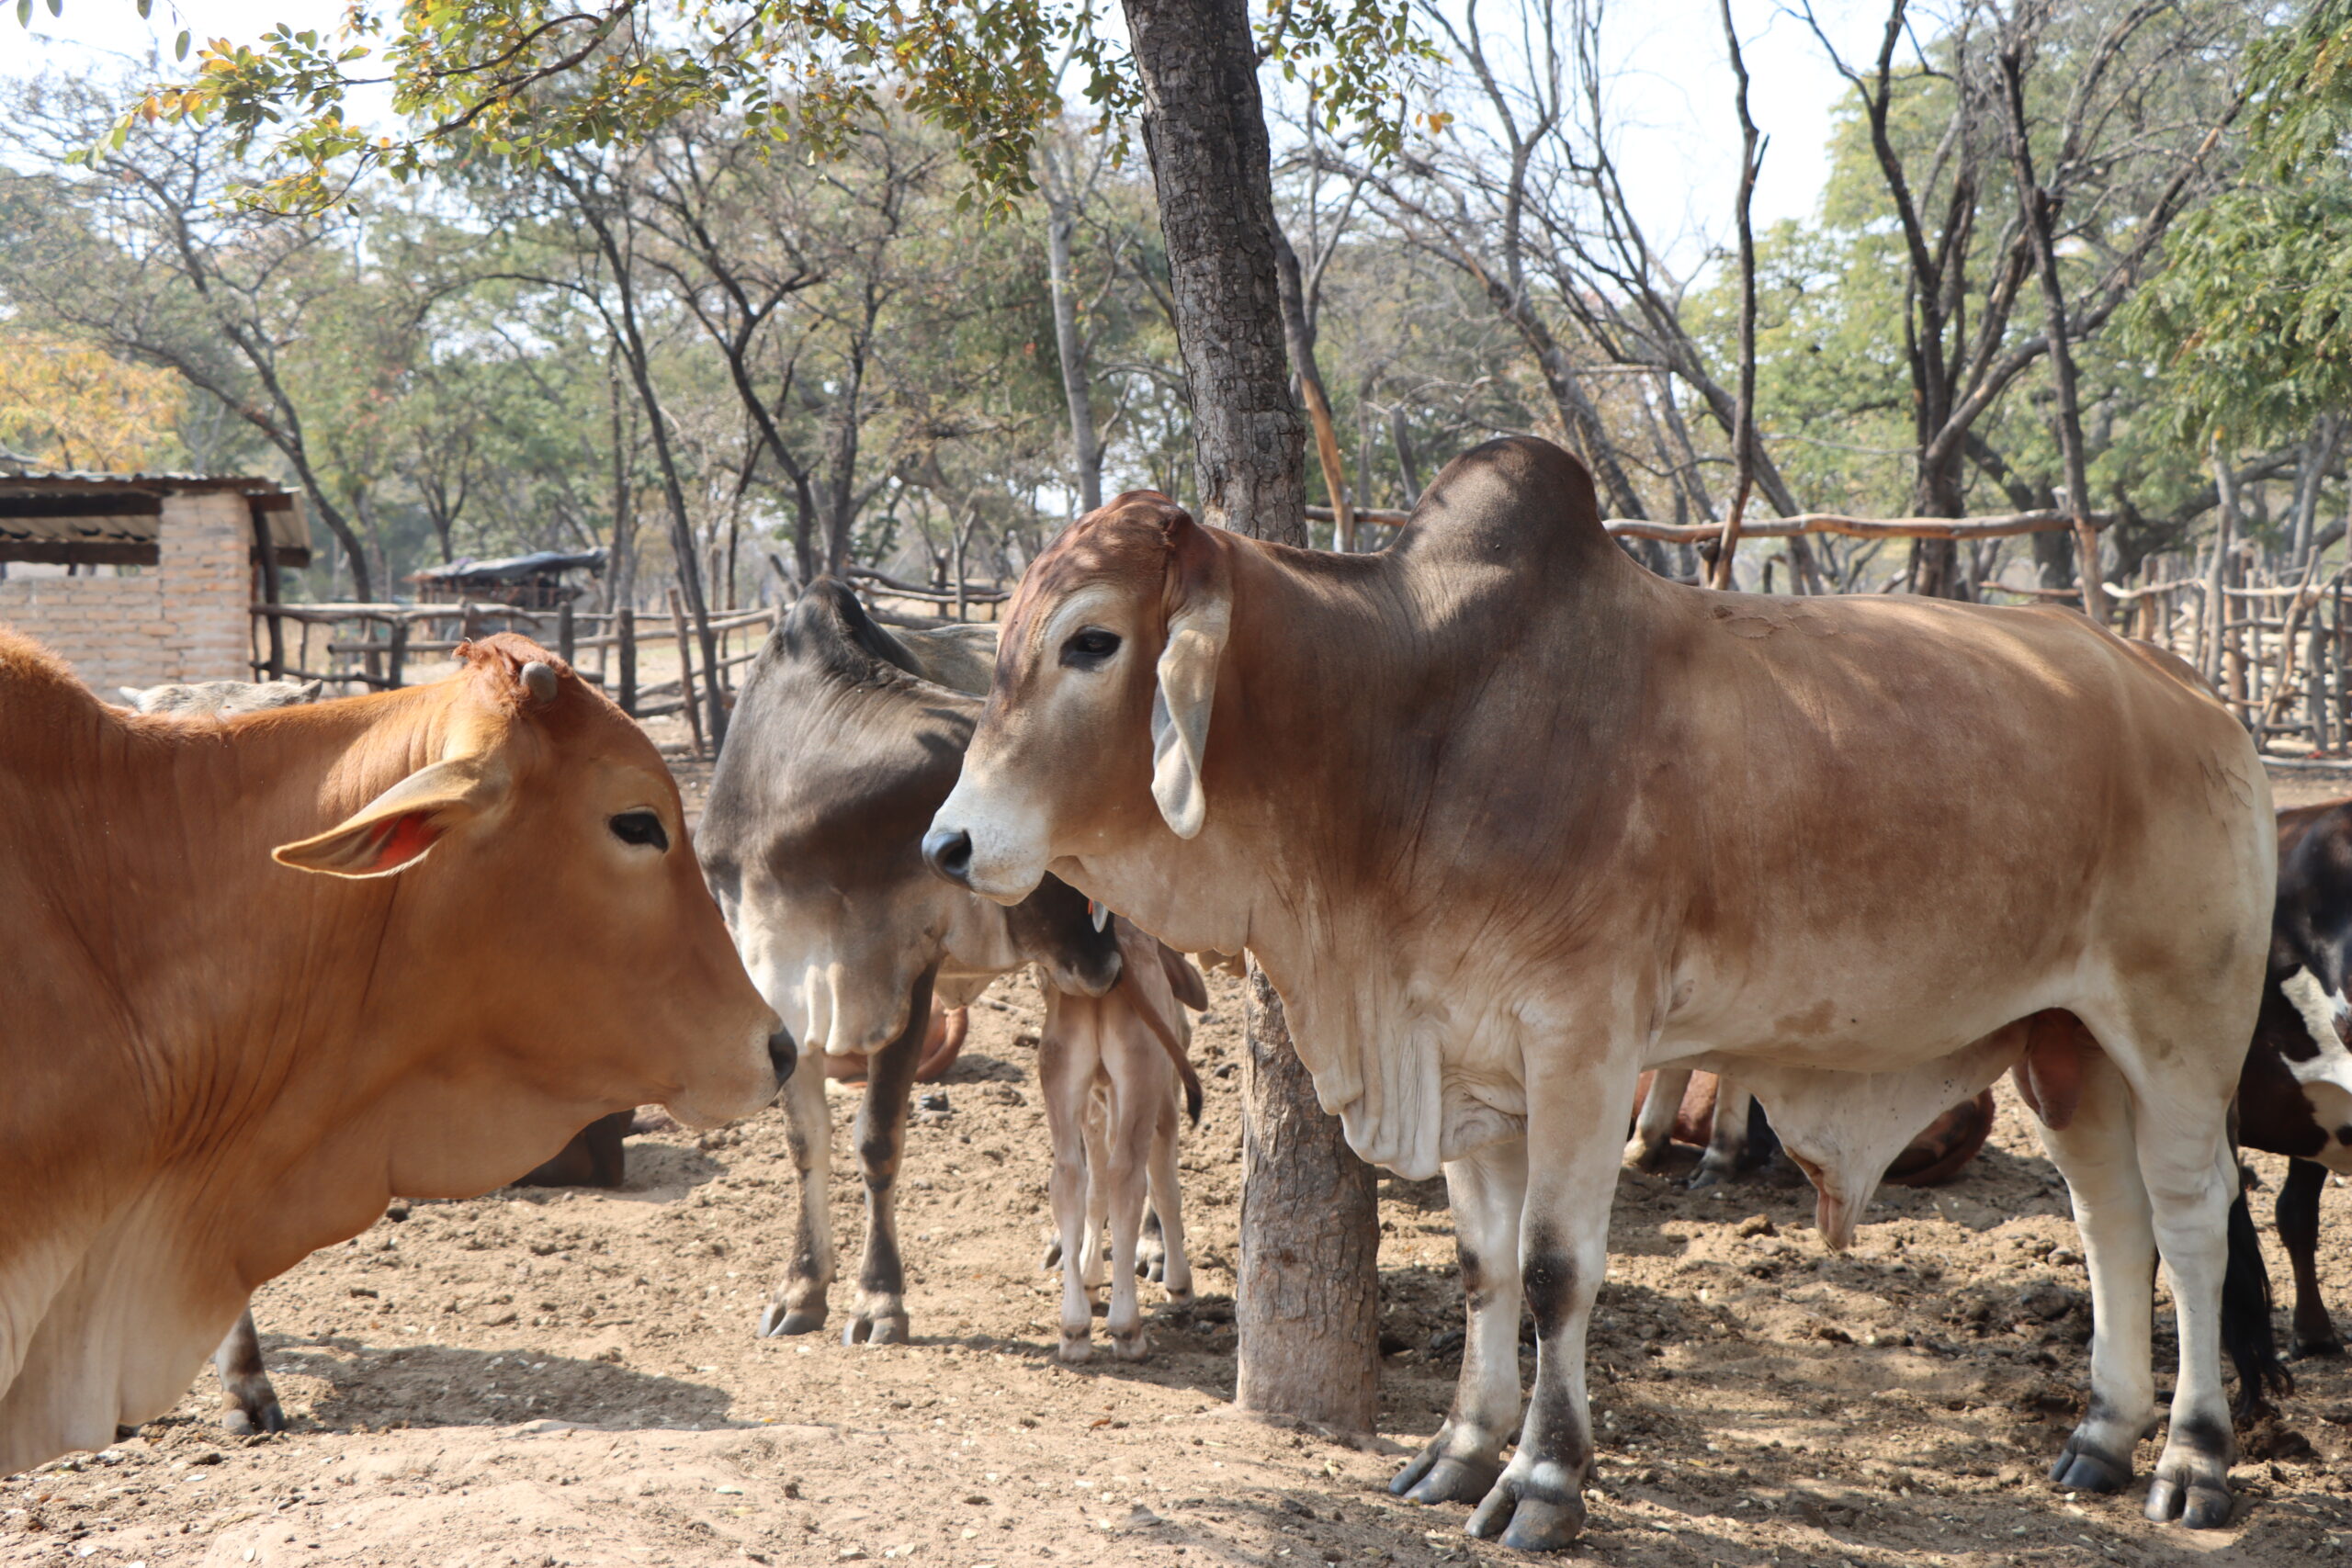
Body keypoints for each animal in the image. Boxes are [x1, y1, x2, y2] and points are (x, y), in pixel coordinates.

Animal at [931, 439, 2277, 1541]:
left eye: (1092, 639)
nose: (948, 842)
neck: (1415, 729)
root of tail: (2205, 705)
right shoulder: (1470, 1061)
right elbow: (1481, 1268)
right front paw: (1458, 1453)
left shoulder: (1579, 1042)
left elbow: (1552, 1269)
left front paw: (1543, 1482)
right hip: (2063, 1042)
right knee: (2109, 1221)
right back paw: (2099, 1438)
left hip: (2177, 1029)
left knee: (2191, 1218)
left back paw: (2192, 1461)